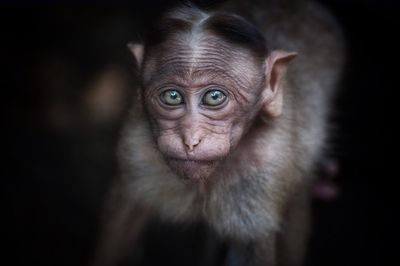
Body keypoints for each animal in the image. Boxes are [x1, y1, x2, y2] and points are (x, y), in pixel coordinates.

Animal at [90, 1, 344, 264]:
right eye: (172, 96)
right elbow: (123, 220)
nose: (190, 140)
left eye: (214, 97)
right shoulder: (135, 149)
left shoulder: (268, 164)